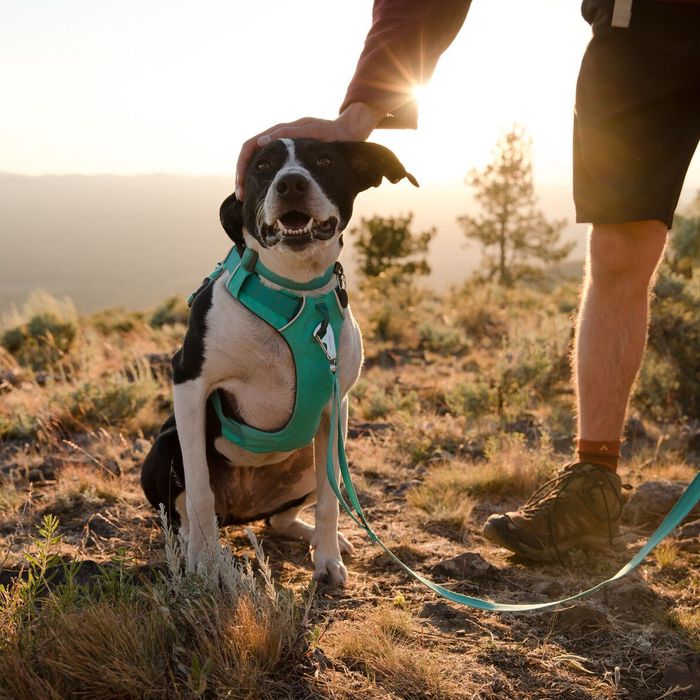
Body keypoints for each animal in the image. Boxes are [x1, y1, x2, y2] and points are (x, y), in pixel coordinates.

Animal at [140, 138, 418, 584]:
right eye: (262, 166)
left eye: (324, 160)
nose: (290, 184)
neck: (295, 290)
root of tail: (241, 511)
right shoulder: (189, 383)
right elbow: (199, 490)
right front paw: (205, 562)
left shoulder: (335, 408)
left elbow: (331, 499)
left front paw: (327, 559)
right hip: (165, 448)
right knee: (185, 512)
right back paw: (193, 543)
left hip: (312, 457)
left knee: (282, 517)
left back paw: (316, 536)